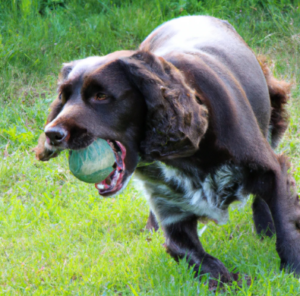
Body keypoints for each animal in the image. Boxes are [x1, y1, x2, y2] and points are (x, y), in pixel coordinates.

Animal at [33, 16, 300, 286]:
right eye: (63, 97)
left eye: (101, 96)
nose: (52, 133)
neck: (188, 154)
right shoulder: (171, 211)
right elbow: (191, 254)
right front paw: (232, 280)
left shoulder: (271, 169)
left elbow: (285, 222)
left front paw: (292, 268)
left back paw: (265, 228)